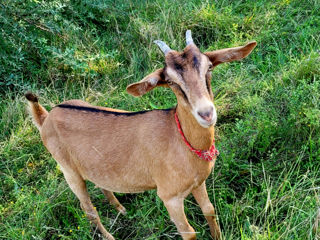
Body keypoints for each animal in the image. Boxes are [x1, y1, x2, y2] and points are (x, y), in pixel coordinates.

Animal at [24, 31, 255, 239]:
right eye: (171, 81)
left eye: (209, 67)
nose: (206, 113)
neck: (181, 139)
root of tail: (47, 117)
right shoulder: (169, 196)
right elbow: (188, 232)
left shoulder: (198, 183)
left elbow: (209, 210)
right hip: (69, 171)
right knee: (89, 210)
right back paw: (109, 236)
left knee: (101, 184)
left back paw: (121, 209)